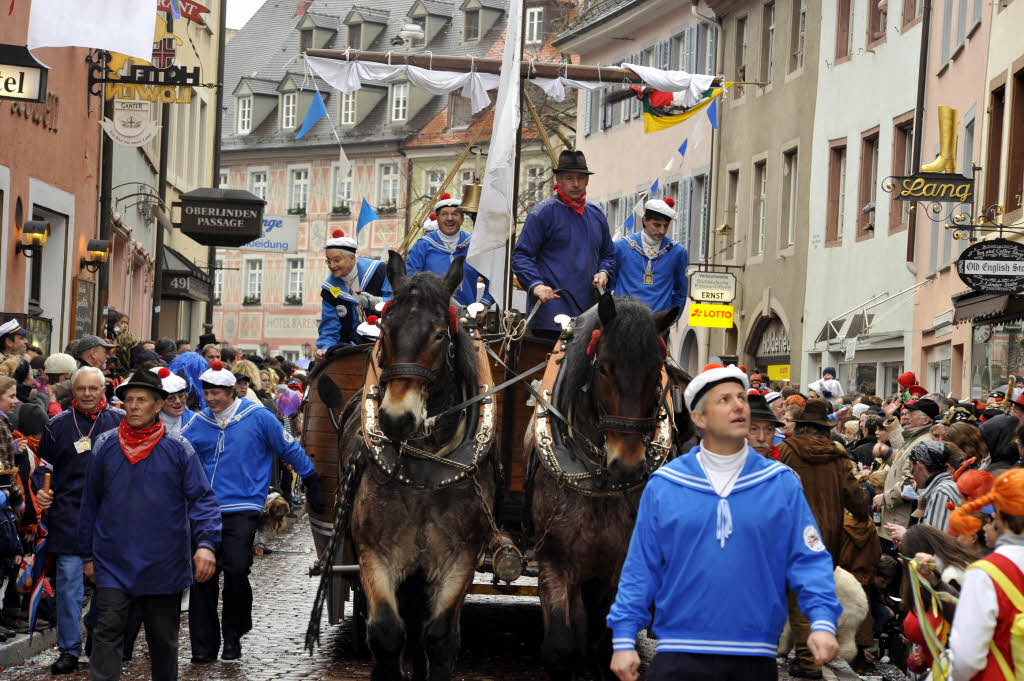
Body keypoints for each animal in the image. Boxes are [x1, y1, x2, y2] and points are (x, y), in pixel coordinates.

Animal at [339, 251, 495, 679]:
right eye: (386, 328)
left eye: (439, 335)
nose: (396, 418)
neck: (425, 472)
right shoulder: (375, 553)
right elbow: (387, 632)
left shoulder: (459, 559)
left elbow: (439, 636)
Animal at [528, 292, 688, 679]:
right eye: (603, 368)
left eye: (656, 371)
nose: (626, 464)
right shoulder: (554, 558)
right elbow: (560, 644)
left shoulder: (621, 564)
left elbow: (607, 635)